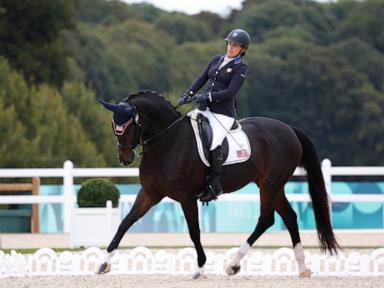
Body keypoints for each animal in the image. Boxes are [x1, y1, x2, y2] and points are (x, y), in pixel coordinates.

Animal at [97, 90, 340, 280]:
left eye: (129, 126)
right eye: (114, 125)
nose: (124, 158)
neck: (168, 142)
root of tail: (289, 129)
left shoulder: (186, 197)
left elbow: (194, 231)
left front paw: (200, 268)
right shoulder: (150, 193)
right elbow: (125, 223)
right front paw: (104, 262)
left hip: (270, 185)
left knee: (266, 219)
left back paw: (233, 264)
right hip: (273, 185)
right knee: (289, 217)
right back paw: (302, 268)